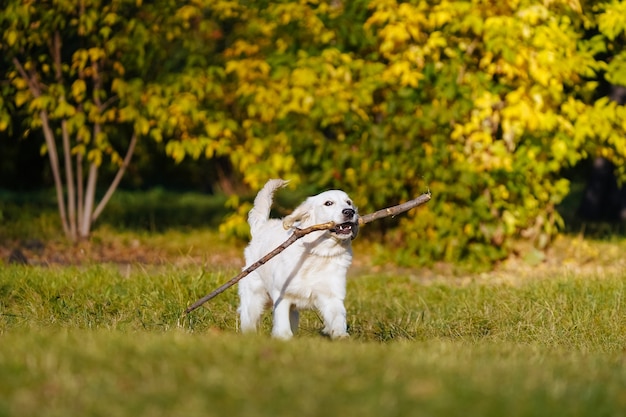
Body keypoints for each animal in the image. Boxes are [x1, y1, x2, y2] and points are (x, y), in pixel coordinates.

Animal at [238, 178, 358, 338]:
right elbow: (282, 325)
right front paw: (282, 337)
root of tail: (261, 227)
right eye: (328, 203)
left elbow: (338, 318)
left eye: (348, 202)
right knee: (248, 320)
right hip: (254, 296)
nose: (349, 212)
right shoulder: (282, 294)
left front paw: (341, 336)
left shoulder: (332, 295)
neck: (317, 252)